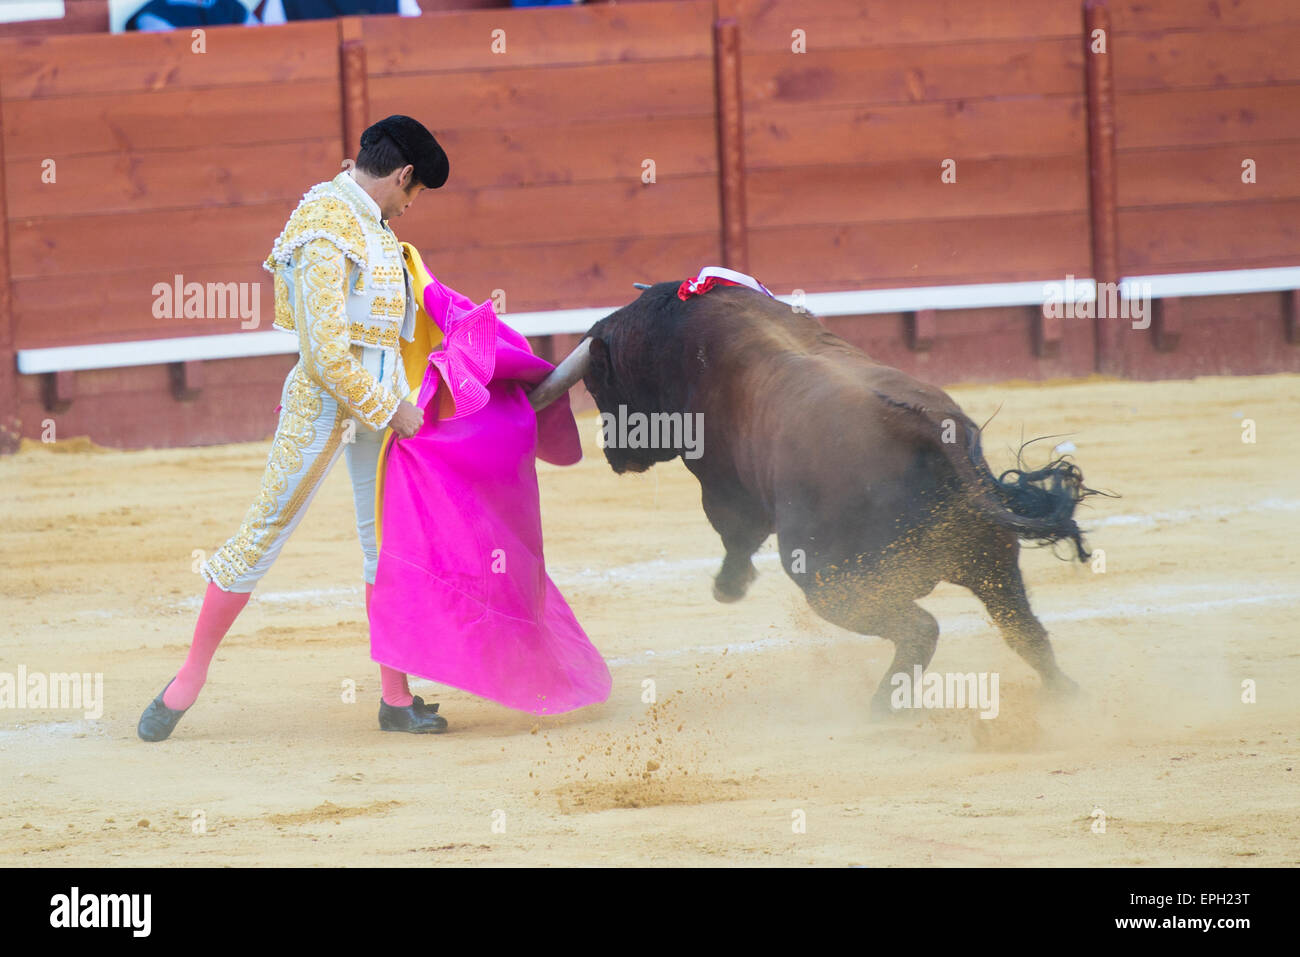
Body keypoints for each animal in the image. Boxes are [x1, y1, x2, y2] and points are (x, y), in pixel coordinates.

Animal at [527, 283, 1097, 717]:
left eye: (601, 388)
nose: (613, 452)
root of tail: (921, 430)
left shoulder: (722, 486)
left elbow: (735, 532)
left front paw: (728, 588)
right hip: (989, 560)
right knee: (1023, 630)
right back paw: (1065, 694)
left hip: (829, 580)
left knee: (921, 627)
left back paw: (880, 709)